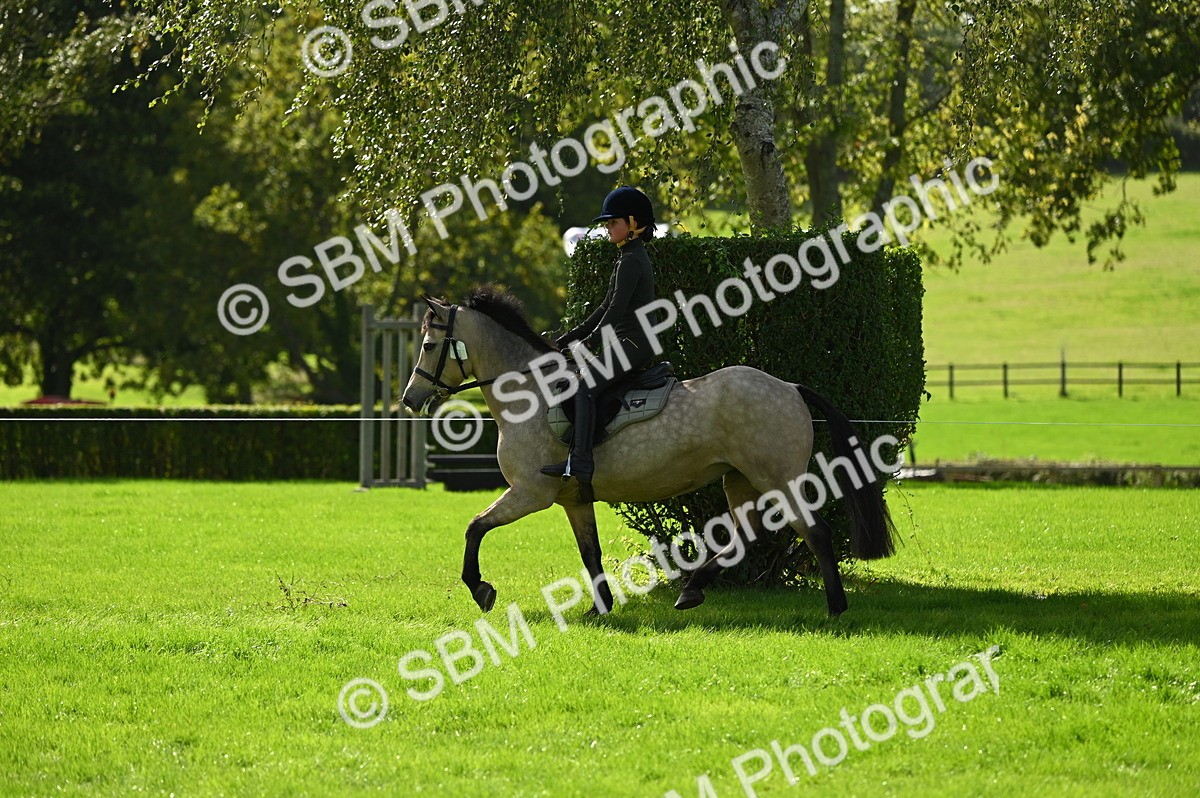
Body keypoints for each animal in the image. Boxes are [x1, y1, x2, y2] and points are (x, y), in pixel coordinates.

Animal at [400, 285, 896, 618]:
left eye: (427, 344)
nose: (409, 399)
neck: (531, 393)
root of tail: (790, 387)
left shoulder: (529, 494)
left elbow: (474, 528)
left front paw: (480, 589)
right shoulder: (572, 500)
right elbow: (591, 553)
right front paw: (599, 609)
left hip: (778, 478)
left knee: (815, 533)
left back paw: (835, 608)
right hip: (739, 479)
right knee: (748, 534)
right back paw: (692, 590)